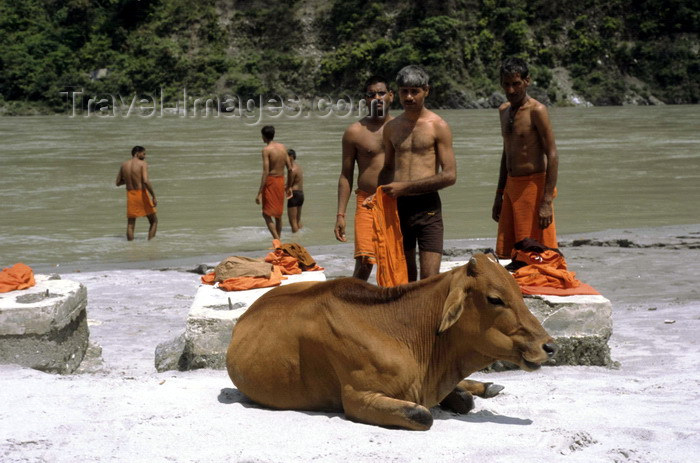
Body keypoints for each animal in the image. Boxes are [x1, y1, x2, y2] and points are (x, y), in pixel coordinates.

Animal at [227, 254, 556, 432]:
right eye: (495, 299)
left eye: (519, 291)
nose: (549, 346)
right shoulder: (358, 399)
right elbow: (422, 414)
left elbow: (461, 399)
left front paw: (468, 390)